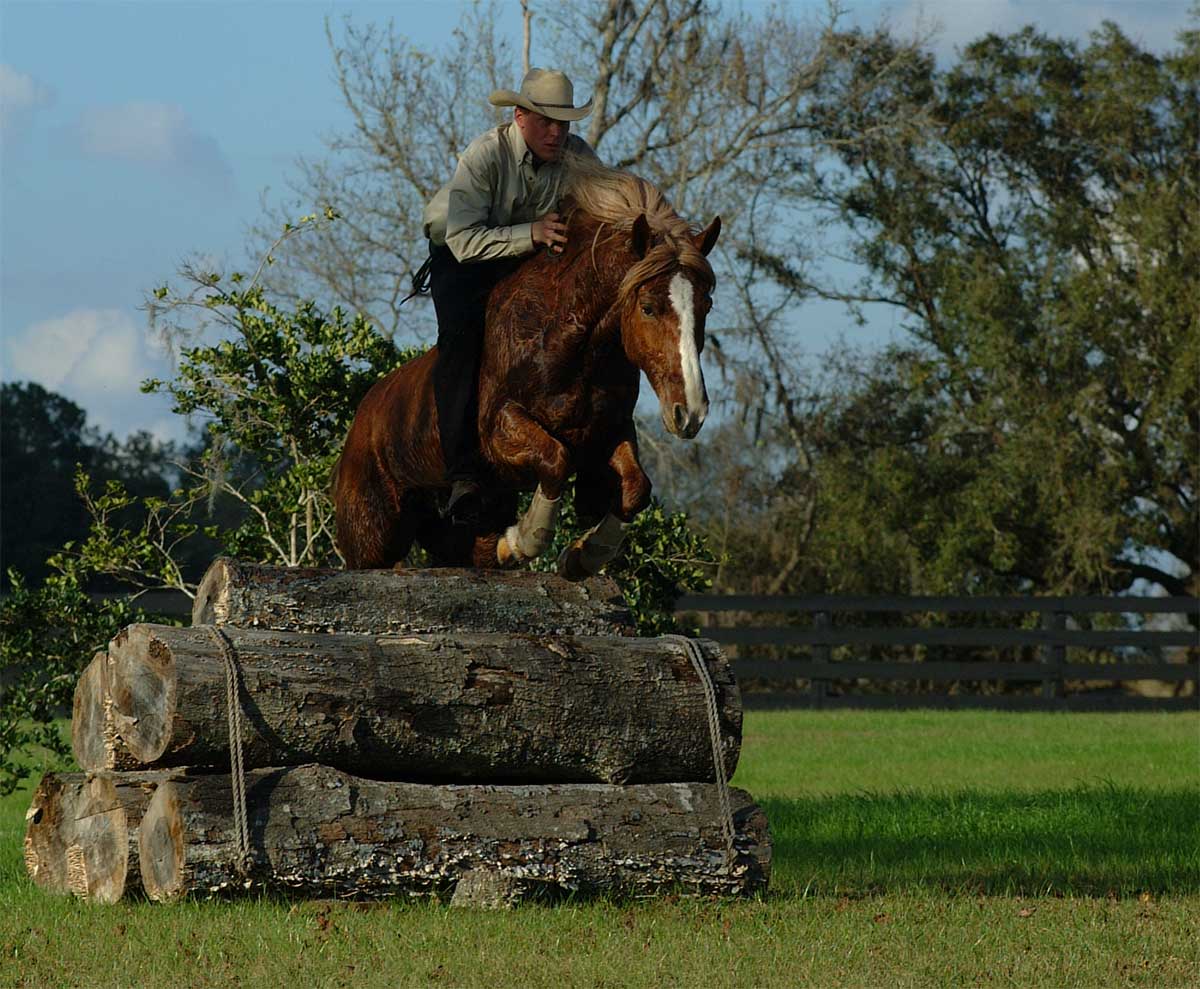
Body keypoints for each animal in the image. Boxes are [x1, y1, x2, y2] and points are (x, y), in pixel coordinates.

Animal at [333, 156, 715, 578]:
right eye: (647, 307)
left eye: (706, 305)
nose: (689, 413)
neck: (573, 344)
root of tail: (360, 421)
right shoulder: (500, 429)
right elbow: (555, 459)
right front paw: (521, 542)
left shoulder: (608, 431)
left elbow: (635, 488)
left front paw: (583, 555)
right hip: (372, 535)